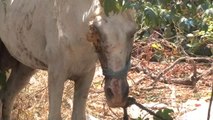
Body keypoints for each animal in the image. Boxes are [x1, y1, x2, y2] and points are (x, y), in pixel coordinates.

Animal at [0, 0, 136, 119]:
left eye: (132, 33)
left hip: (25, 67)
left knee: (8, 95)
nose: (117, 95)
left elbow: (78, 116)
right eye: (96, 30)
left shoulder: (86, 75)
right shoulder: (56, 75)